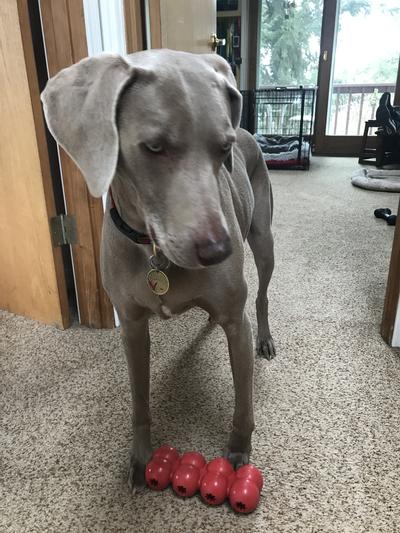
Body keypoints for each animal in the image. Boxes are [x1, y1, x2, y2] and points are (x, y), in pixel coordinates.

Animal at [41, 50, 276, 490]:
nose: (219, 250)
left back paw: (266, 338)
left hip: (263, 239)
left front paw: (239, 452)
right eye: (153, 146)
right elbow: (139, 401)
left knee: (263, 296)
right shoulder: (132, 328)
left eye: (224, 147)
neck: (154, 251)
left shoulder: (236, 323)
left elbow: (244, 401)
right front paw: (139, 458)